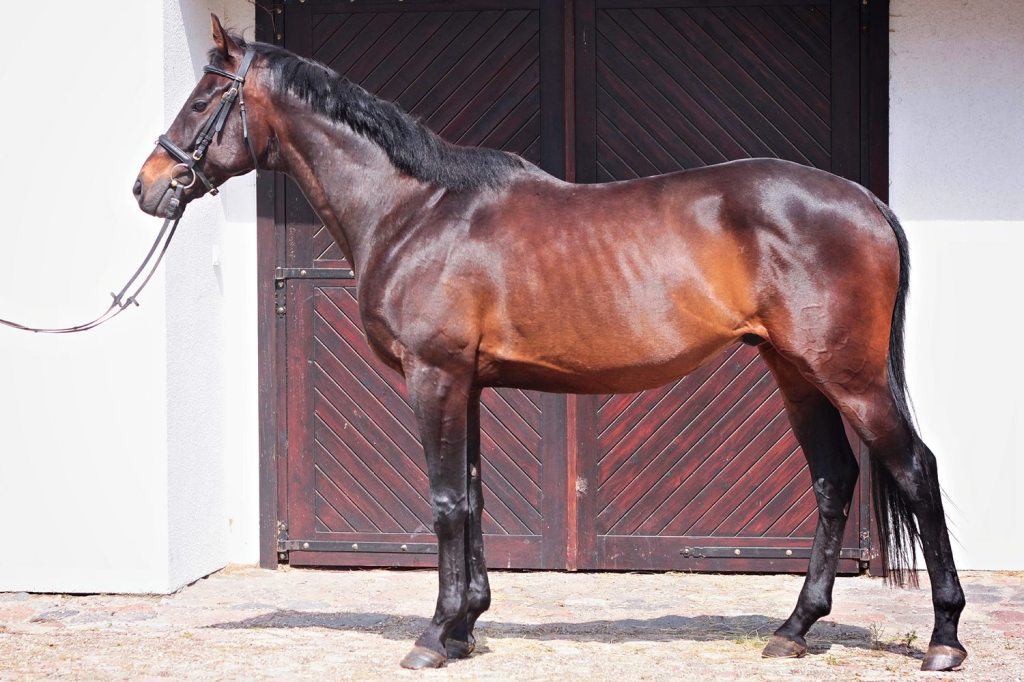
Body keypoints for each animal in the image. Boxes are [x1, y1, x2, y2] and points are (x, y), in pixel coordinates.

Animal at [134, 15, 966, 672]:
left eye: (202, 98)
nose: (147, 186)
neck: (417, 210)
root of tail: (865, 202)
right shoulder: (465, 383)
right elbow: (471, 497)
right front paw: (465, 625)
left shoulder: (433, 376)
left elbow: (445, 503)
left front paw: (433, 638)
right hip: (794, 372)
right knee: (833, 482)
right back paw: (793, 630)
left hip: (850, 375)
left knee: (916, 471)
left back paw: (944, 639)